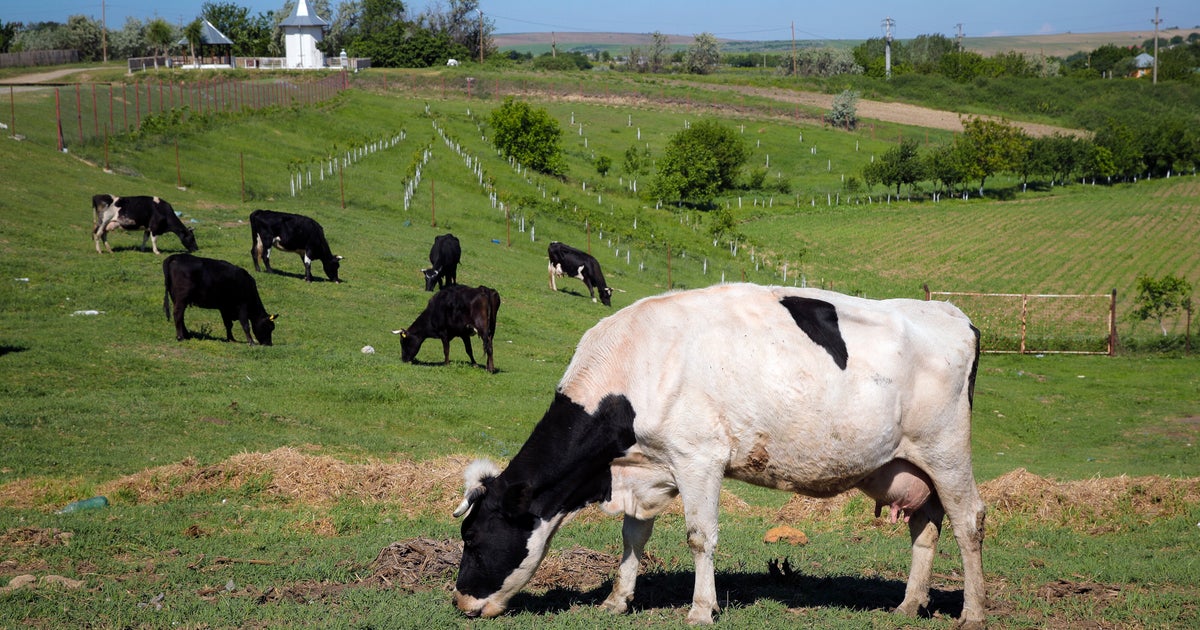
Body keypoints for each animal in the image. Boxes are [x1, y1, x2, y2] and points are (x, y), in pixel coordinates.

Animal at [452, 284, 986, 628]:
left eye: (473, 538)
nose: (459, 601)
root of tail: (953, 315)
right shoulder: (649, 467)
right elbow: (633, 536)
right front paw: (617, 600)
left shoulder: (699, 457)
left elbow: (699, 537)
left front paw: (700, 609)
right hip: (912, 467)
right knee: (926, 528)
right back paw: (909, 605)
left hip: (946, 451)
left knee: (969, 522)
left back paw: (973, 612)